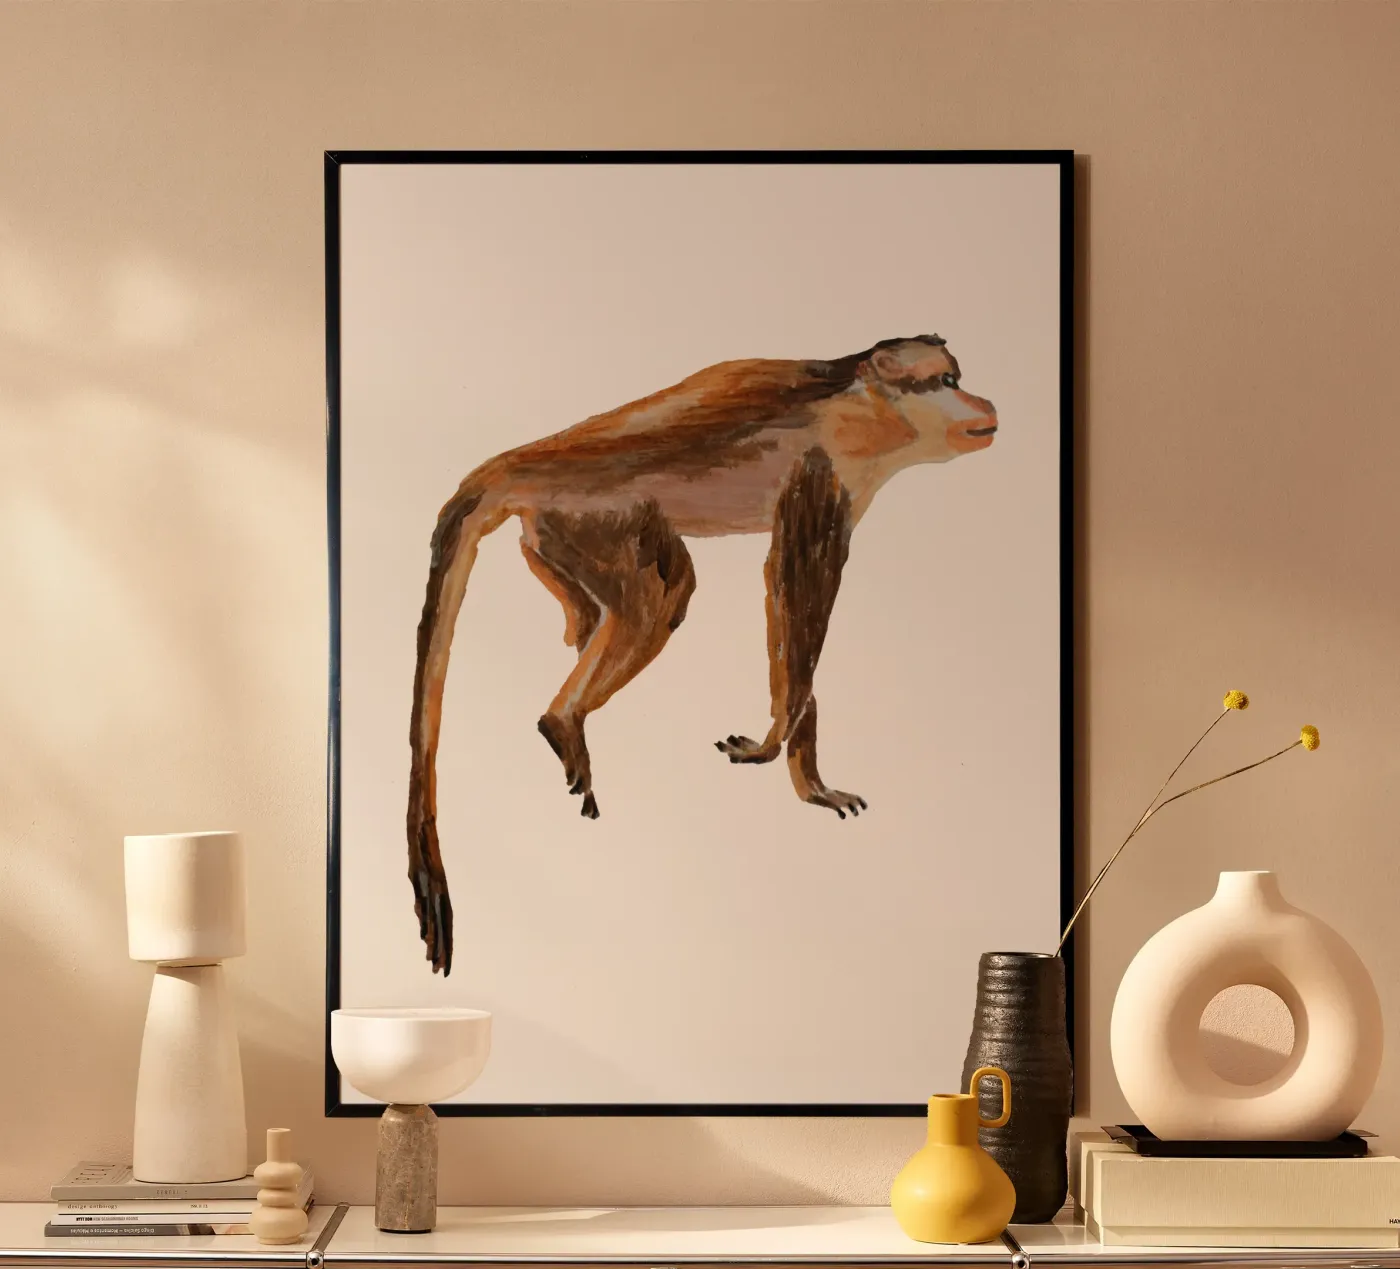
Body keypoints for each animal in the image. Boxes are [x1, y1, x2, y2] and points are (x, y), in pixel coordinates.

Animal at [406, 335, 999, 973]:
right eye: (946, 382)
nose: (981, 402)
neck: (861, 398)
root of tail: (519, 462)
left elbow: (791, 619)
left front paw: (808, 779)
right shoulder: (823, 466)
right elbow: (794, 589)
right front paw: (771, 746)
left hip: (553, 532)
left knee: (598, 610)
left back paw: (574, 670)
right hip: (595, 511)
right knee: (664, 593)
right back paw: (562, 719)